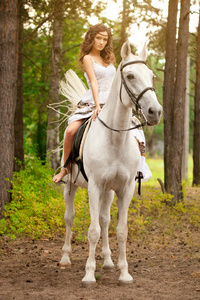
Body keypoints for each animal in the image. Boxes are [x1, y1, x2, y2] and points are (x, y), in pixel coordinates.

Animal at [58, 41, 162, 284]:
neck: (115, 139)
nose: (155, 112)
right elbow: (92, 231)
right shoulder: (94, 187)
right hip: (71, 186)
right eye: (130, 75)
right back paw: (65, 258)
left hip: (109, 191)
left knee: (105, 220)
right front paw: (89, 274)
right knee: (70, 218)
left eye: (151, 75)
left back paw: (107, 261)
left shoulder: (125, 188)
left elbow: (121, 230)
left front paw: (124, 273)